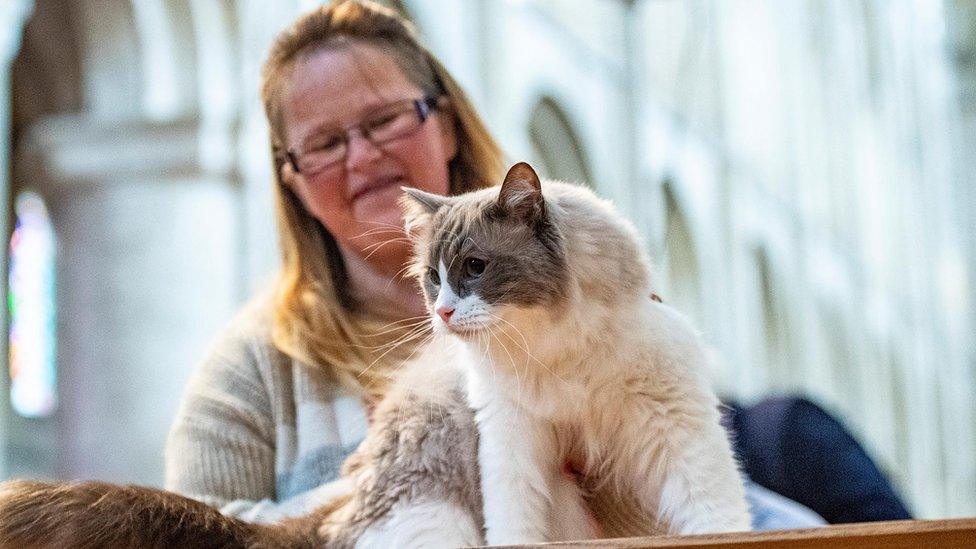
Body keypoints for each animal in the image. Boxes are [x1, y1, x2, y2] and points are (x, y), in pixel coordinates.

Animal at [400, 161, 752, 540]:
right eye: (434, 277)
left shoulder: (675, 422)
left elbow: (713, 513)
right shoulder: (512, 432)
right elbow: (514, 521)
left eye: (475, 266)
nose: (442, 312)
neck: (553, 352)